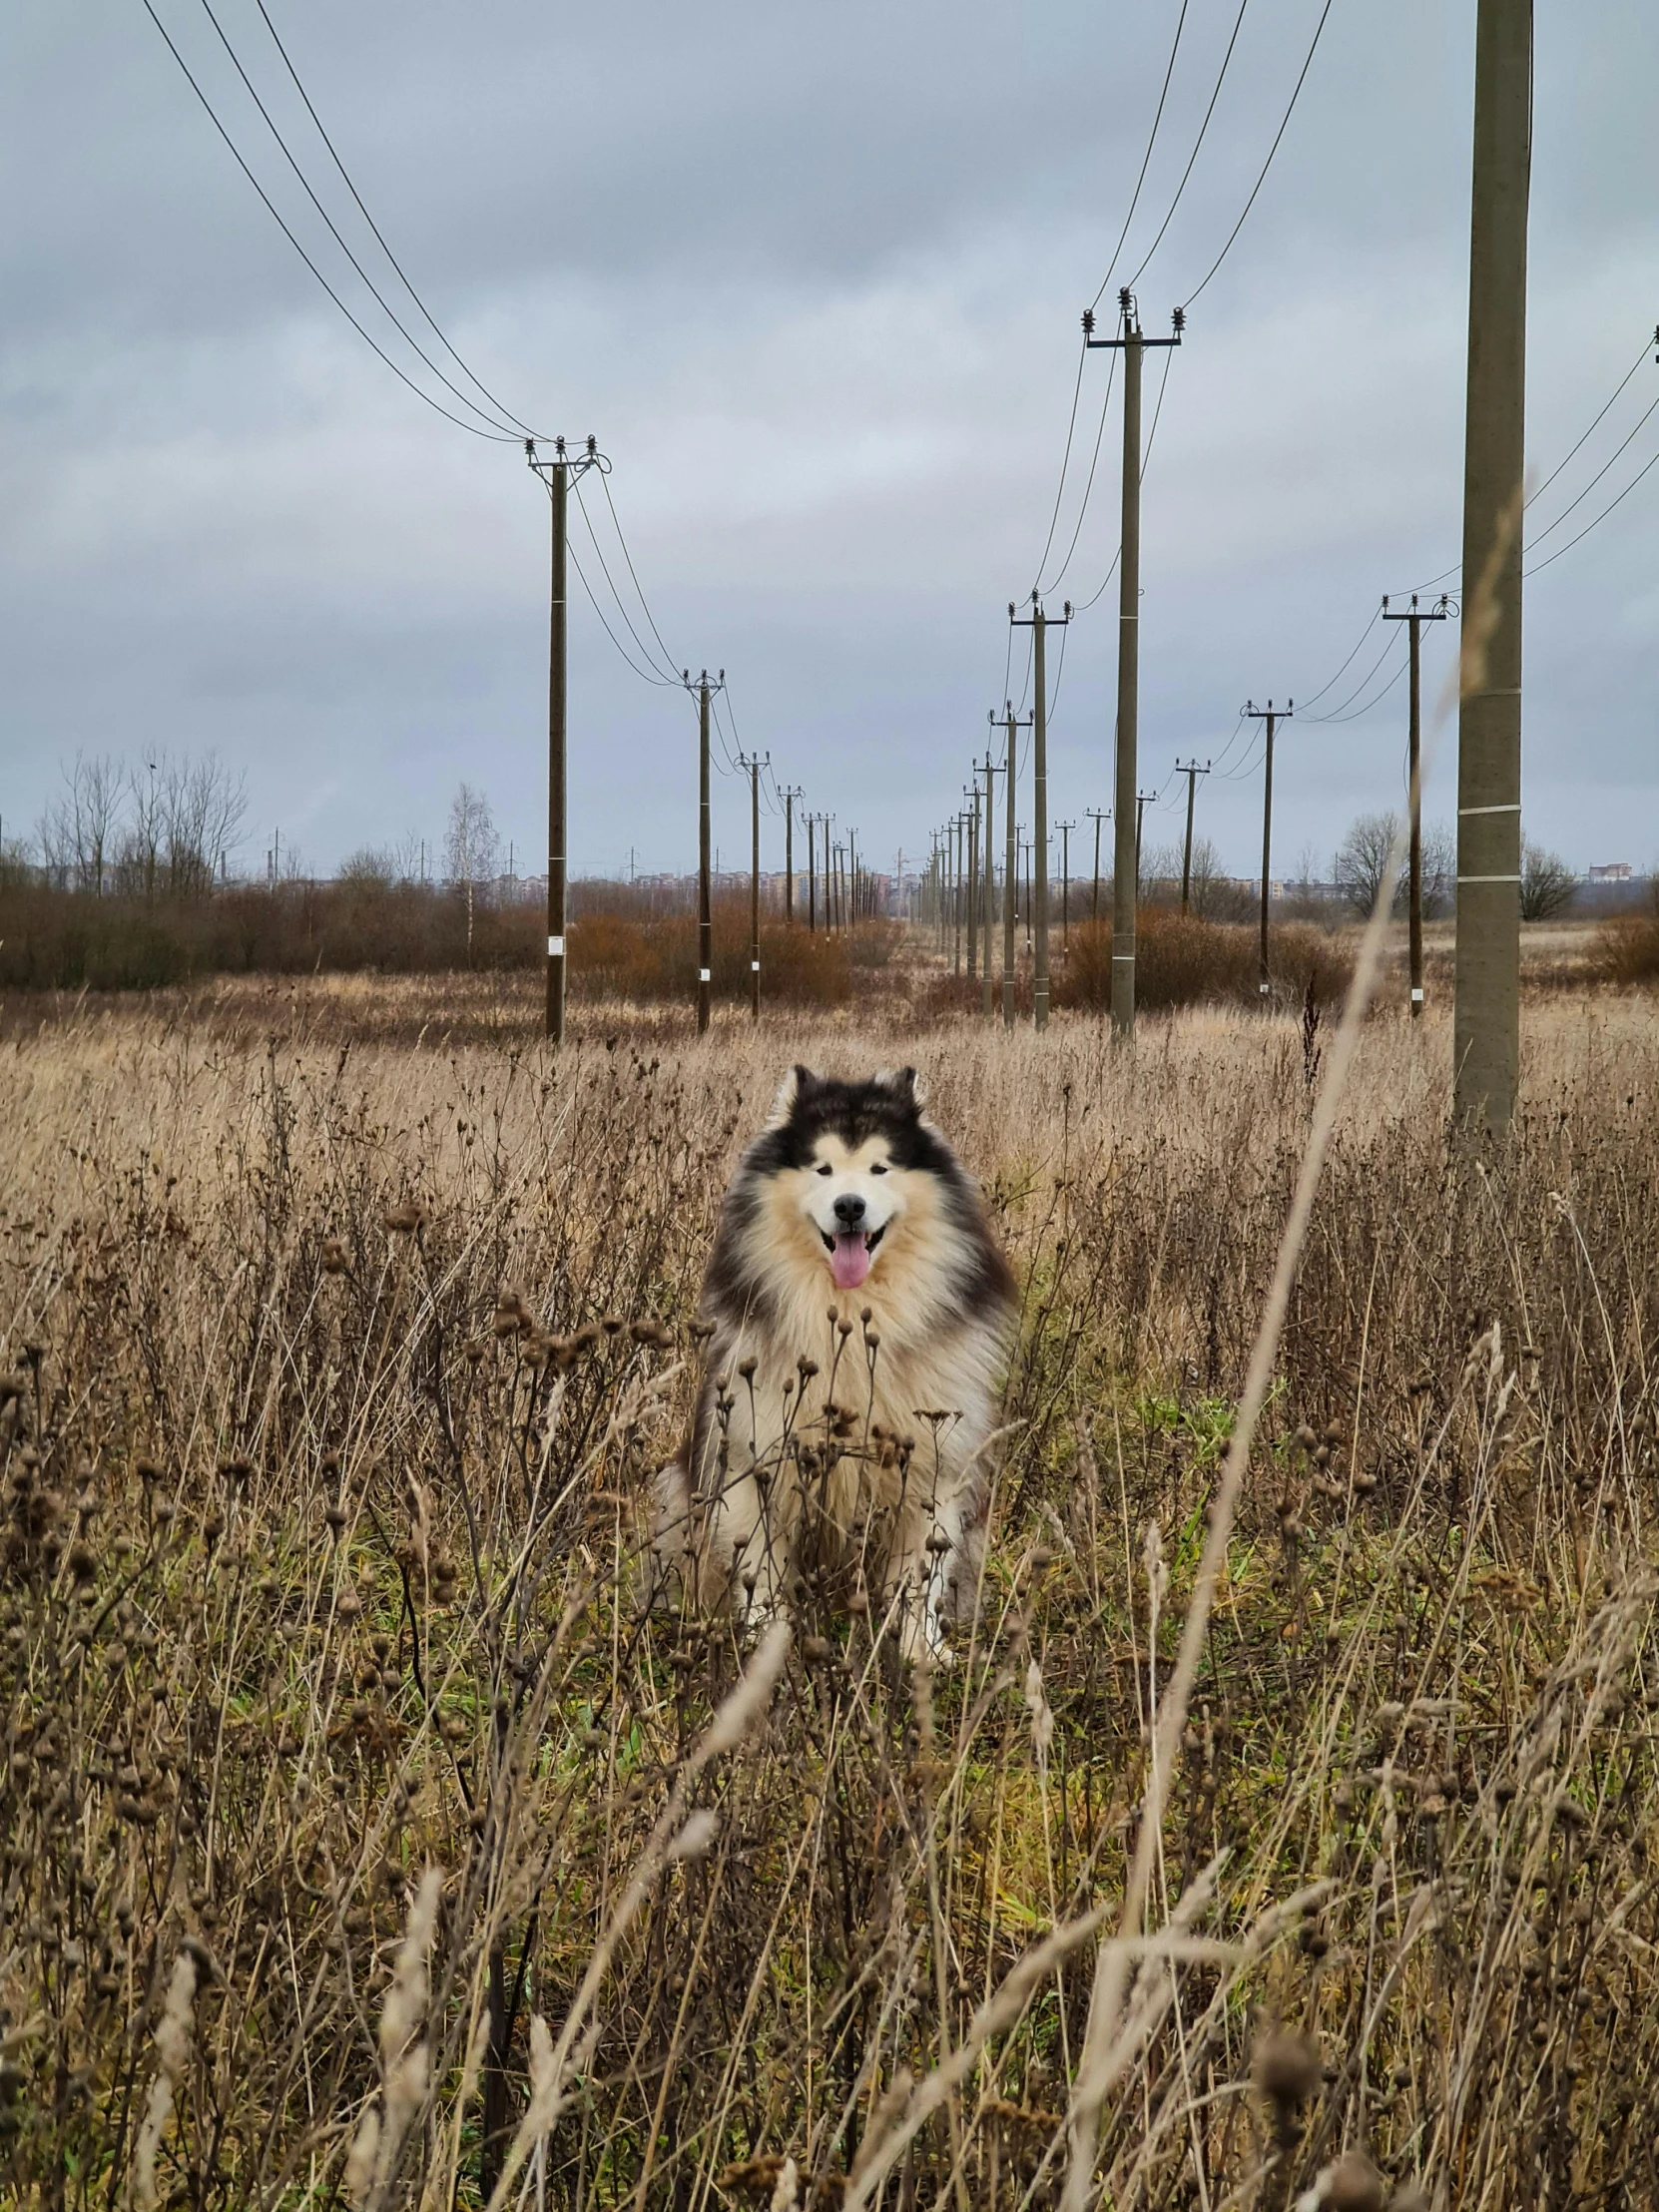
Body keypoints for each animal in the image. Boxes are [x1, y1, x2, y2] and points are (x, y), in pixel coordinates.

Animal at [650, 1057, 1012, 1663]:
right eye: (822, 1169)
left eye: (879, 1168)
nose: (849, 1206)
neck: (851, 1311)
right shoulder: (755, 1457)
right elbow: (761, 1572)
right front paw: (768, 1653)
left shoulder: (934, 1465)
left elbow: (921, 1574)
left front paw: (922, 1651)